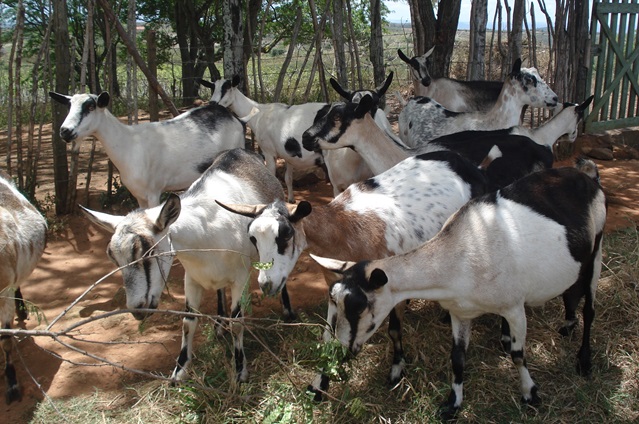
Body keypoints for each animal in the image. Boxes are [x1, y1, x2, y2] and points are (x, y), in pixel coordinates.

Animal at [47, 91, 246, 209]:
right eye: (69, 106)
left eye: (90, 106)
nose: (65, 131)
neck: (129, 146)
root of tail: (235, 118)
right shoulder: (138, 195)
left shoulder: (154, 192)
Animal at [218, 149, 492, 400]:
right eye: (252, 237)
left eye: (285, 234)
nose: (266, 283)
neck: (345, 229)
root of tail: (466, 163)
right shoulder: (335, 289)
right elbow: (328, 335)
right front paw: (319, 383)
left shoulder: (389, 285)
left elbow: (394, 330)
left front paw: (396, 370)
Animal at [312, 166, 608, 418]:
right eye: (334, 300)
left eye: (360, 305)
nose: (344, 349)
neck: (461, 255)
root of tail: (587, 178)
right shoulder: (460, 312)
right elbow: (457, 358)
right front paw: (452, 404)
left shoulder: (514, 307)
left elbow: (517, 354)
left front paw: (530, 394)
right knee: (573, 289)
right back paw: (568, 324)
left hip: (597, 249)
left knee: (590, 308)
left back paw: (584, 360)